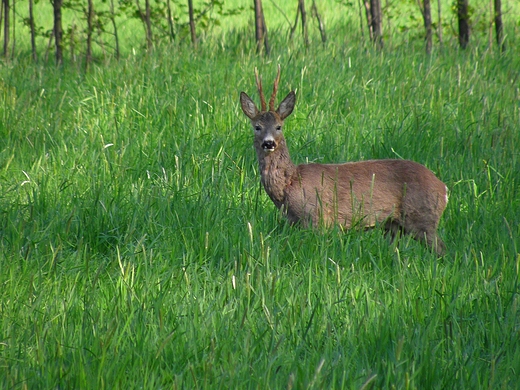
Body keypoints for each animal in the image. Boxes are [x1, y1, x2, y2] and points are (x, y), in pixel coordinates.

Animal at [240, 66, 446, 256]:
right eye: (257, 127)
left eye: (278, 126)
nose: (268, 143)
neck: (290, 183)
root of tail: (443, 188)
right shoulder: (294, 222)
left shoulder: (319, 219)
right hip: (394, 225)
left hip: (423, 218)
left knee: (442, 249)